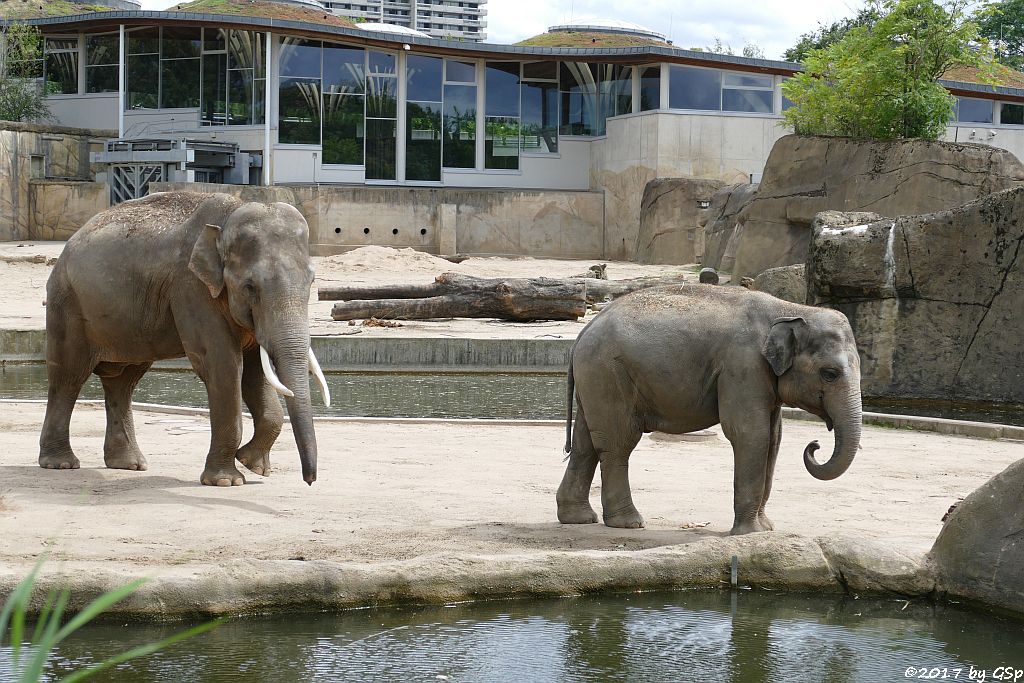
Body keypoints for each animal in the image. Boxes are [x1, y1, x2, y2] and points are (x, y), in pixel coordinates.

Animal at [37, 192, 327, 485]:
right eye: (250, 287)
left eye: (311, 282)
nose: (310, 480)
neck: (231, 213)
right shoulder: (191, 287)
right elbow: (223, 365)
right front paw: (226, 481)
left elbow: (256, 370)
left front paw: (253, 465)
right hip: (67, 304)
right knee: (68, 377)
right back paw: (60, 463)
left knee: (123, 382)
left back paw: (128, 465)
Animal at [557, 282, 860, 532]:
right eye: (830, 374)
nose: (815, 445)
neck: (791, 309)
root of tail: (583, 332)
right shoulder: (742, 365)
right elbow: (751, 433)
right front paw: (751, 533)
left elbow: (774, 438)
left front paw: (766, 528)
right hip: (609, 372)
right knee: (619, 442)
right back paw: (629, 523)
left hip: (595, 379)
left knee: (585, 444)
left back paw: (579, 519)